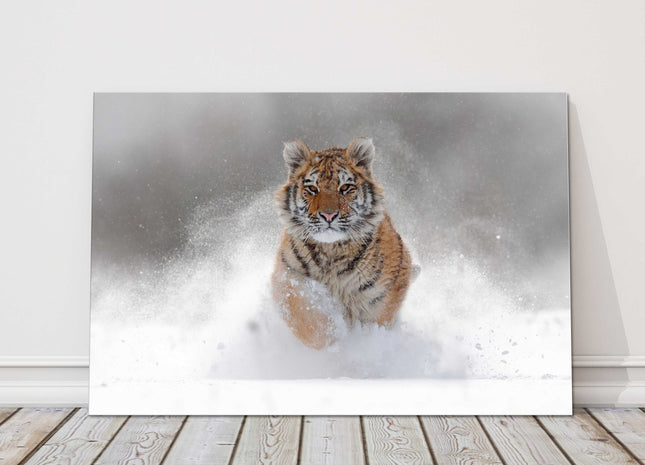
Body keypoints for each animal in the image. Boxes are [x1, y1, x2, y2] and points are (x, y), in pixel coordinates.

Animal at [271, 137, 417, 349]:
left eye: (345, 187)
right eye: (312, 189)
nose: (328, 215)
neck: (331, 250)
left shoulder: (384, 293)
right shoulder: (287, 276)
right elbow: (307, 319)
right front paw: (333, 338)